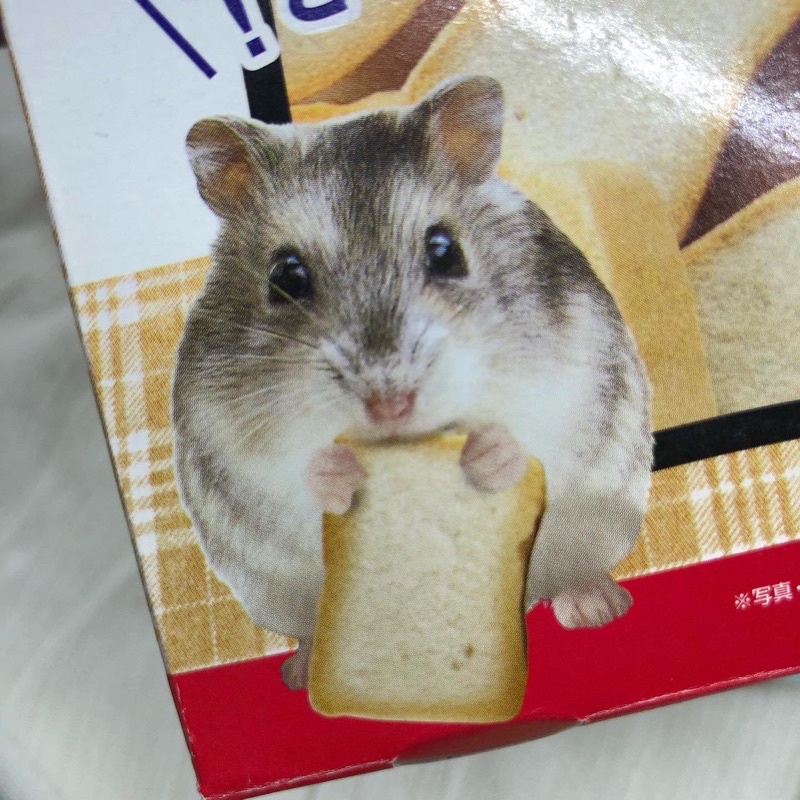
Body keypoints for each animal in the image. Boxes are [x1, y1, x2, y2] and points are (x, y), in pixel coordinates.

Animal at [172, 75, 653, 690]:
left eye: (445, 250)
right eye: (285, 276)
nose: (390, 405)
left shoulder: (570, 380)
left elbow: (533, 441)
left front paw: (490, 453)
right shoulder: (232, 446)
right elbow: (295, 476)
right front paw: (338, 470)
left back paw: (598, 609)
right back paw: (302, 675)